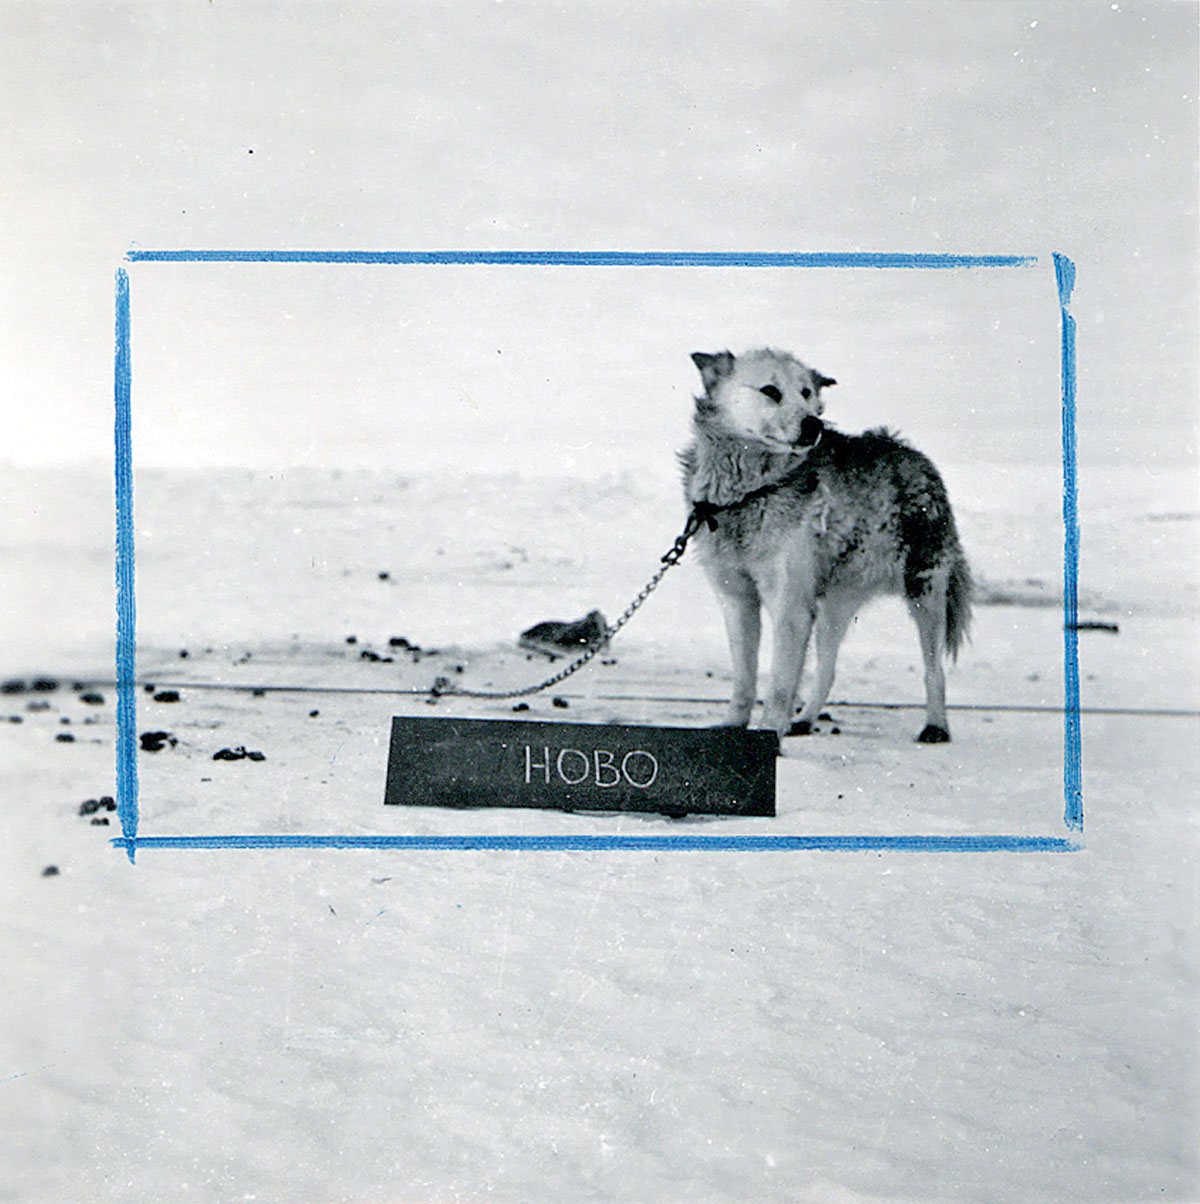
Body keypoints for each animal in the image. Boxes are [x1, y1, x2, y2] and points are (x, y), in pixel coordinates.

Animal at [678, 346, 967, 741]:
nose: (813, 424)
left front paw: (770, 734)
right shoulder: (737, 599)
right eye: (770, 390)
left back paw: (936, 725)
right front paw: (733, 728)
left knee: (933, 670)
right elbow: (744, 680)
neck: (752, 492)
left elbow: (779, 686)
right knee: (828, 671)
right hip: (834, 605)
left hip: (925, 593)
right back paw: (805, 719)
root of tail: (913, 455)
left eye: (806, 394)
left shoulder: (791, 605)